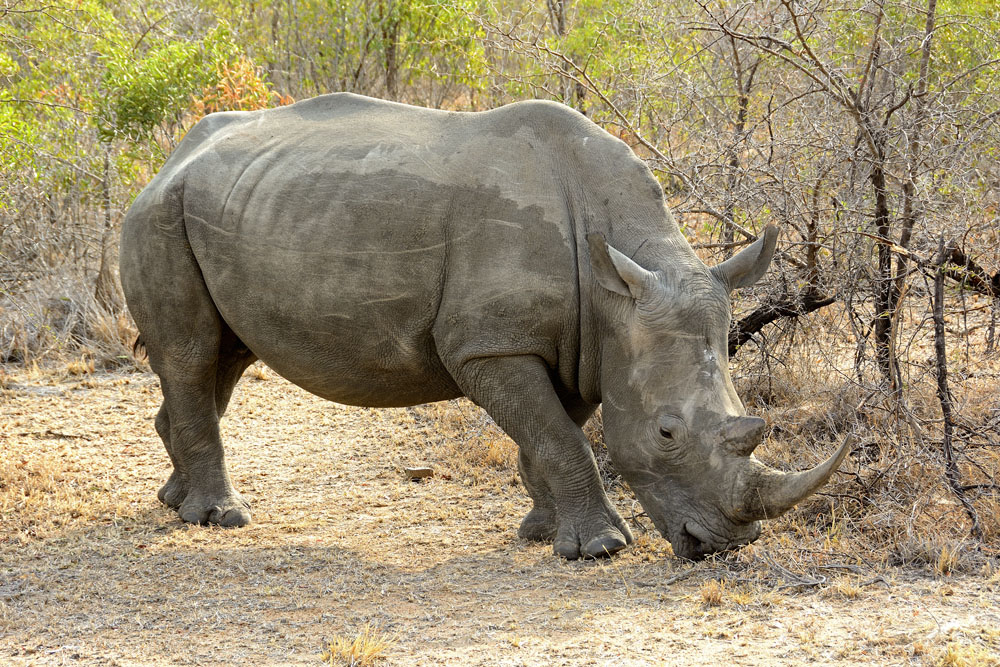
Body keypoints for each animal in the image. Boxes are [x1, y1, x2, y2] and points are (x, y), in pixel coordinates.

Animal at [120, 93, 848, 560]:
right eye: (667, 432)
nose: (723, 546)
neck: (616, 287)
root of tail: (169, 159)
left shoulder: (584, 341)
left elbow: (555, 432)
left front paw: (542, 531)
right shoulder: (490, 345)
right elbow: (562, 437)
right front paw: (601, 548)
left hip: (230, 206)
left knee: (223, 358)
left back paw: (174, 501)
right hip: (158, 214)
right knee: (191, 353)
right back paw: (220, 519)